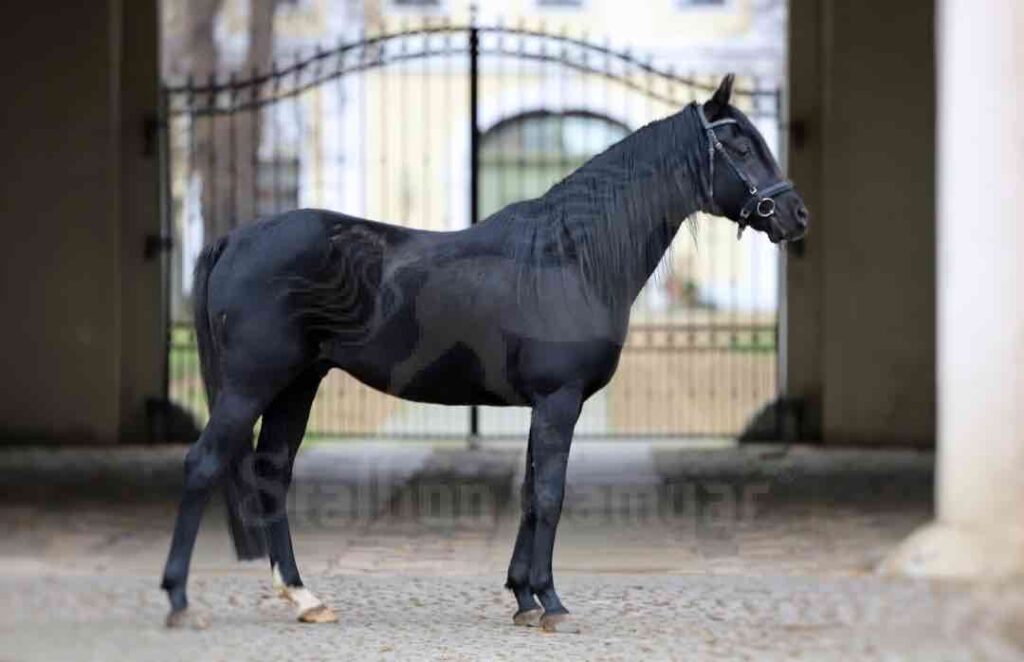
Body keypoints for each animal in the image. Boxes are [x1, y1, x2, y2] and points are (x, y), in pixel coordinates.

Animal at [160, 74, 809, 631]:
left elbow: (528, 493)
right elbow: (549, 495)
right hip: (252, 383)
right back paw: (180, 600)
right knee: (202, 464)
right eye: (740, 145)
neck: (569, 257)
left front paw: (522, 596)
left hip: (298, 383)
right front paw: (551, 602)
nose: (795, 215)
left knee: (273, 472)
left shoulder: (543, 405)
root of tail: (237, 238)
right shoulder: (559, 401)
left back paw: (304, 597)